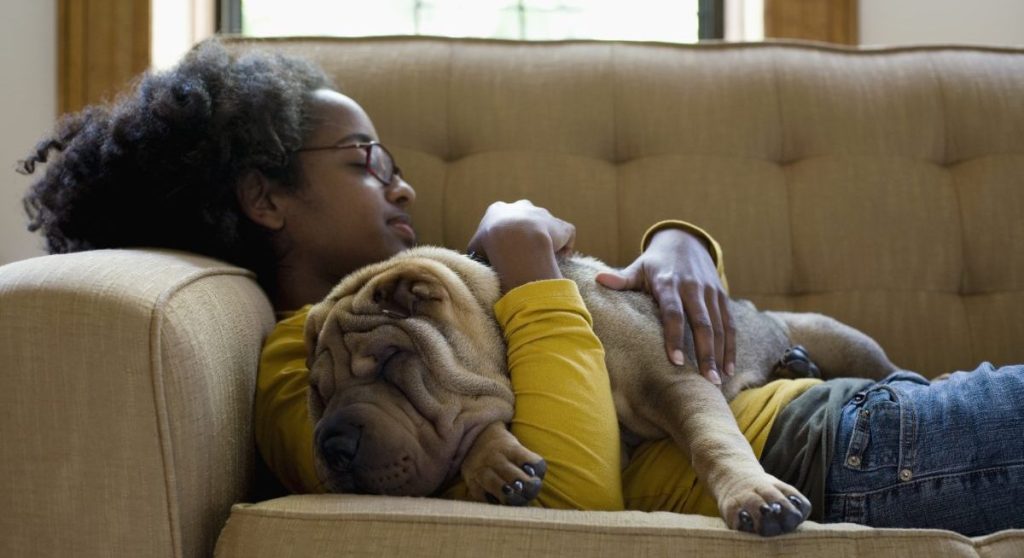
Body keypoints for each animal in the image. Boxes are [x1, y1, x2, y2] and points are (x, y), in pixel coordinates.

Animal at [305, 245, 897, 532]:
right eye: (319, 395)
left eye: (390, 361)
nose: (331, 447)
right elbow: (475, 425)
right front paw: (495, 460)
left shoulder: (677, 380)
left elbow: (713, 441)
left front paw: (755, 493)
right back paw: (791, 366)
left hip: (836, 333)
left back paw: (801, 363)